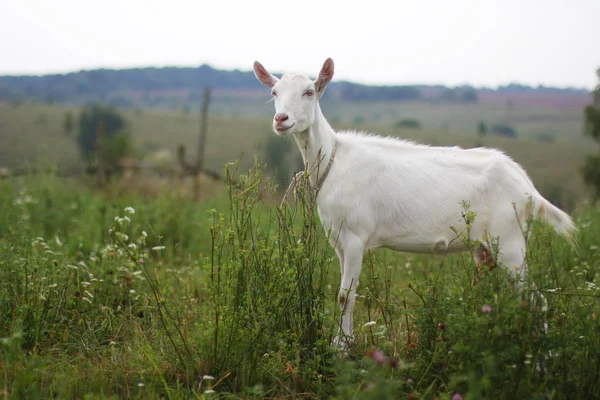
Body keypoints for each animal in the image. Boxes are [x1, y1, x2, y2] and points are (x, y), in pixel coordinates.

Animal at [252, 57, 576, 346]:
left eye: (309, 91)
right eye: (274, 92)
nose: (281, 120)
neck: (334, 160)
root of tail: (529, 188)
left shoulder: (356, 236)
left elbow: (346, 294)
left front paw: (342, 348)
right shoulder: (338, 240)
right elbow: (344, 293)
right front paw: (341, 341)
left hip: (509, 241)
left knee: (536, 299)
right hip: (486, 248)